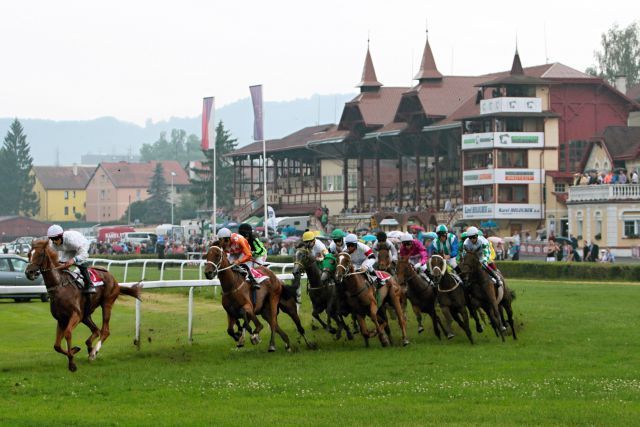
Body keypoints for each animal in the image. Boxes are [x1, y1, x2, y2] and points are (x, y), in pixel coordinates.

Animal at [26, 239, 140, 372]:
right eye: (29, 254)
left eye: (40, 254)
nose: (29, 272)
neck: (60, 286)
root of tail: (115, 280)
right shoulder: (61, 319)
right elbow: (57, 346)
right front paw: (74, 350)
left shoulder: (75, 315)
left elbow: (68, 333)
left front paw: (72, 363)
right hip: (86, 315)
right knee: (96, 330)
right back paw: (89, 347)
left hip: (106, 304)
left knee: (105, 331)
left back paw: (93, 352)